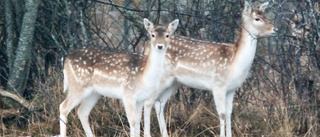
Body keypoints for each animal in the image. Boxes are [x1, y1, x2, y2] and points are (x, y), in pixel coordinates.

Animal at [144, 1, 276, 137]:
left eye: (266, 15)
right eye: (257, 18)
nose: (274, 29)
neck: (234, 63)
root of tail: (147, 47)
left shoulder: (232, 89)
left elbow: (229, 114)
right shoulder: (218, 85)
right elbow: (222, 114)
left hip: (174, 82)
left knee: (159, 104)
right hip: (159, 79)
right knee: (147, 102)